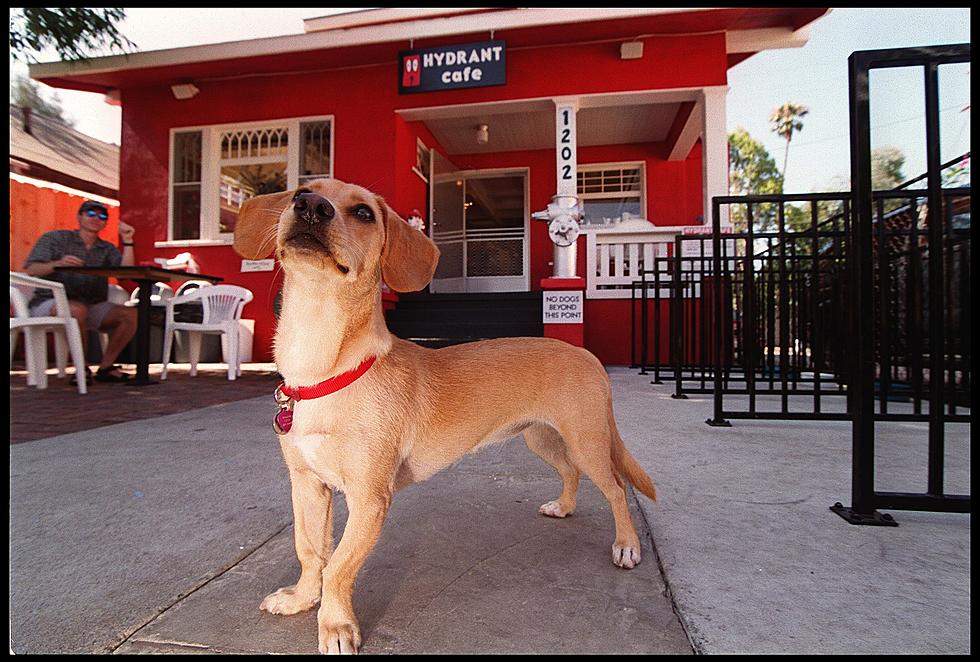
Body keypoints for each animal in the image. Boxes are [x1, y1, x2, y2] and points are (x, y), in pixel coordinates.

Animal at [234, 179, 656, 656]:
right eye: (301, 191)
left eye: (363, 213)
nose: (309, 206)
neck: (323, 368)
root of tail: (586, 354)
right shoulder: (308, 485)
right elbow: (310, 551)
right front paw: (303, 599)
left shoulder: (369, 499)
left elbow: (339, 564)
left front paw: (336, 625)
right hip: (542, 439)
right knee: (571, 473)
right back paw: (563, 507)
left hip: (587, 442)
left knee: (617, 489)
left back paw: (626, 546)